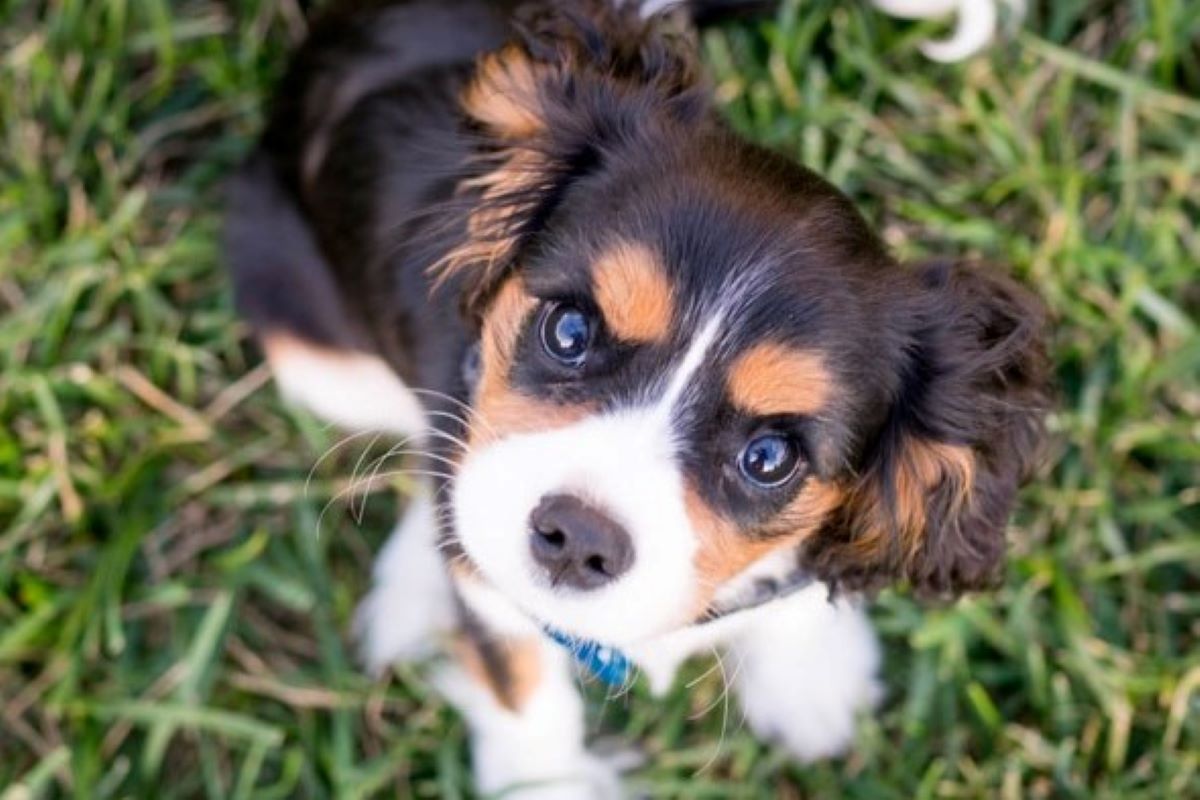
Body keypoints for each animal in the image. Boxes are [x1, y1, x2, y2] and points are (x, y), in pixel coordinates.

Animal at [226, 0, 1051, 796]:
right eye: (568, 330)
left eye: (769, 457)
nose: (577, 537)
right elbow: (522, 686)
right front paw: (543, 783)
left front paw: (809, 676)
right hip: (312, 346)